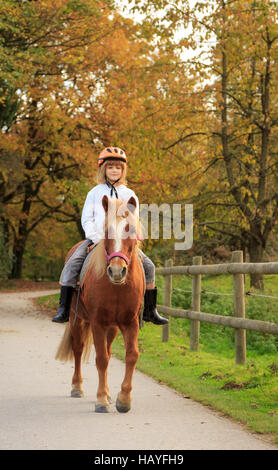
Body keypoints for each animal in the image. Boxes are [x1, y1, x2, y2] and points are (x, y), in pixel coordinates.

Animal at [54, 195, 146, 412]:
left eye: (130, 229)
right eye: (106, 231)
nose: (117, 271)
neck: (117, 288)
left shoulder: (130, 323)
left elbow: (131, 355)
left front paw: (123, 400)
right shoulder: (97, 323)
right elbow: (101, 359)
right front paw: (102, 400)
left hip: (112, 327)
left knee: (109, 351)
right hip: (77, 318)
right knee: (78, 348)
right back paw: (77, 387)